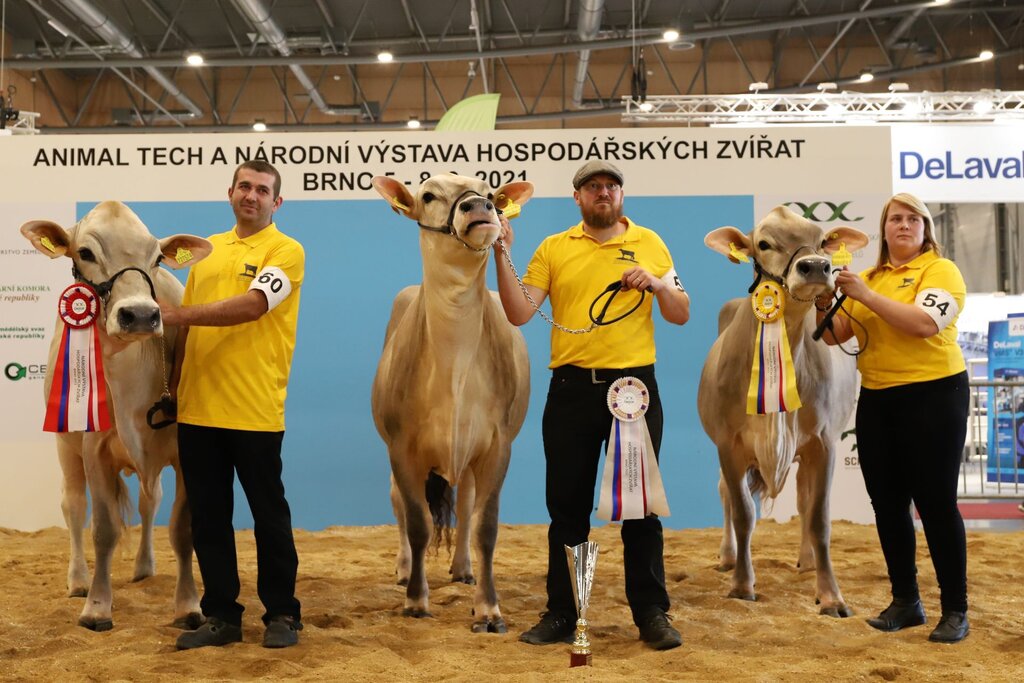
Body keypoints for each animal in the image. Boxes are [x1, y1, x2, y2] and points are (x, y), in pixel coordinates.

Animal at [21, 201, 212, 631]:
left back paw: (144, 567)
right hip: (65, 445)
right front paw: (96, 607)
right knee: (73, 506)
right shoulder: (95, 449)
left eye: (157, 258)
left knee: (149, 502)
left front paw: (188, 605)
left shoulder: (184, 450)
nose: (140, 314)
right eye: (85, 253)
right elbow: (103, 529)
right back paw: (78, 580)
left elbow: (182, 528)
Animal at [370, 173, 532, 633]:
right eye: (427, 194)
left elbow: (485, 527)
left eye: (492, 192)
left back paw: (463, 569)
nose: (479, 207)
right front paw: (415, 600)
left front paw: (489, 610)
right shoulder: (401, 447)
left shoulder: (498, 445)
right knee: (399, 507)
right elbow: (419, 523)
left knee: (464, 502)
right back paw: (405, 568)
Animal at [697, 206, 869, 616]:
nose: (816, 266)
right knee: (725, 493)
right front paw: (742, 583)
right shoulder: (728, 443)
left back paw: (807, 561)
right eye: (763, 243)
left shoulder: (824, 443)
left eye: (822, 241)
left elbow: (819, 518)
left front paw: (831, 595)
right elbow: (743, 512)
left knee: (805, 502)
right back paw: (728, 557)